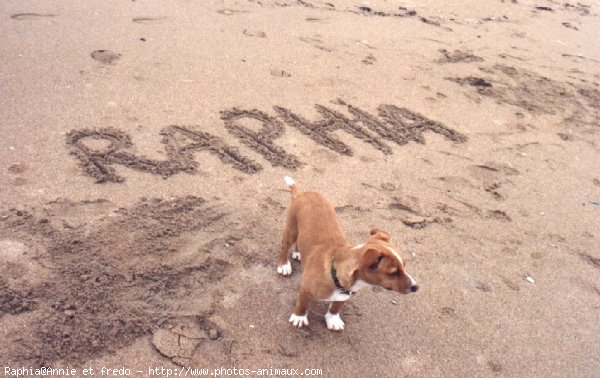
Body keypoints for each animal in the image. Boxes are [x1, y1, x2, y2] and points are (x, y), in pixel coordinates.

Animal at [276, 176, 418, 330]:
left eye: (404, 265)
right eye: (393, 272)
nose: (416, 287)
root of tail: (302, 193)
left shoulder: (345, 295)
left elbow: (336, 307)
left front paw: (333, 319)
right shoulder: (306, 289)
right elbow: (303, 304)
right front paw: (299, 317)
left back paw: (298, 253)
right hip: (291, 230)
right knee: (284, 246)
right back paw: (284, 265)